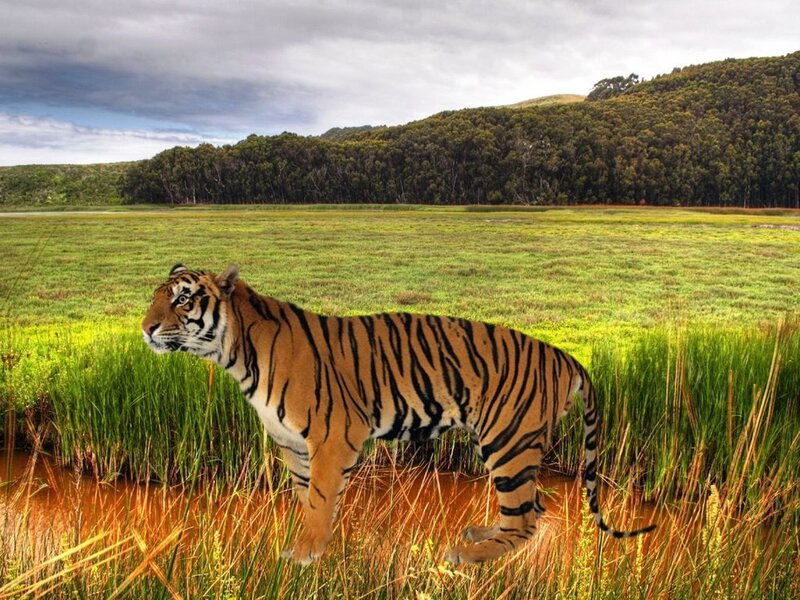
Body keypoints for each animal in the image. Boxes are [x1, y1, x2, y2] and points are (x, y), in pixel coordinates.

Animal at [142, 263, 655, 565]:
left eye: (183, 299)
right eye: (156, 296)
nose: (145, 328)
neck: (235, 354)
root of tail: (566, 356)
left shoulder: (333, 435)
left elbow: (320, 498)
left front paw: (306, 554)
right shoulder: (291, 444)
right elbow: (306, 497)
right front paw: (308, 546)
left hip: (509, 441)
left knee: (525, 519)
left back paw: (468, 554)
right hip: (504, 445)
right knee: (532, 507)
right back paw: (480, 534)